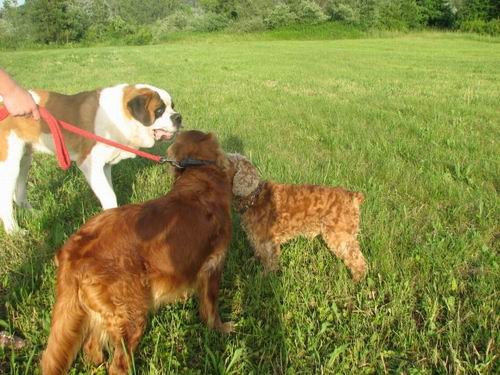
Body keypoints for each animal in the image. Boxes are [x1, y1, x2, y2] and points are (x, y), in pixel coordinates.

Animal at [0, 83, 183, 234]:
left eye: (172, 107)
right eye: (159, 111)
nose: (178, 117)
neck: (120, 117)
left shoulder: (105, 166)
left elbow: (109, 189)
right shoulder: (90, 165)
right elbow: (109, 195)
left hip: (24, 159)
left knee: (19, 192)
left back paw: (32, 213)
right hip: (9, 163)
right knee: (5, 199)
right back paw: (14, 231)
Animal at [41, 130, 234, 375]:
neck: (199, 175)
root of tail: (72, 250)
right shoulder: (213, 266)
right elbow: (211, 307)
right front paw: (221, 329)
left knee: (91, 346)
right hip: (132, 315)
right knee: (117, 364)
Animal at [228, 153, 368, 282]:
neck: (254, 199)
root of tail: (353, 197)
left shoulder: (268, 243)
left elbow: (270, 263)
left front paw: (263, 278)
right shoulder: (257, 239)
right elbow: (258, 253)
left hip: (340, 236)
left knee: (358, 260)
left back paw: (356, 280)